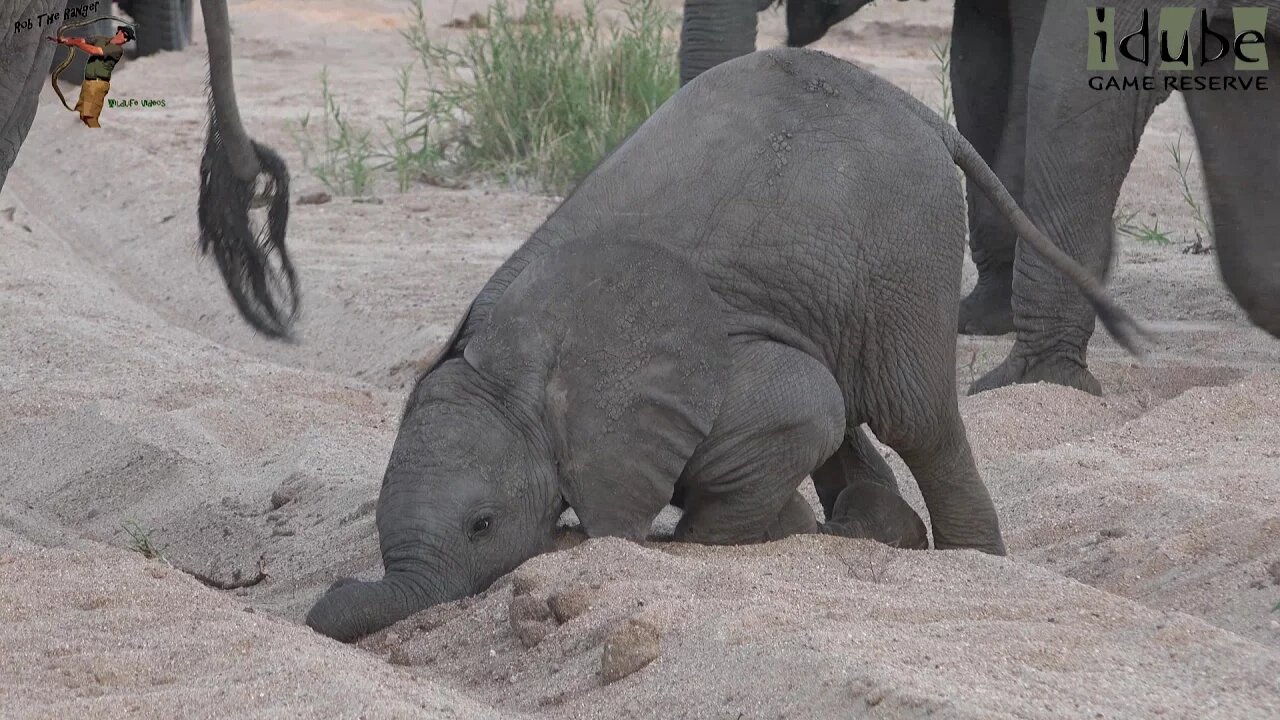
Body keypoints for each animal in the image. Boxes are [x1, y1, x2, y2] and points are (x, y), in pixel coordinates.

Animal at [304, 46, 1146, 638]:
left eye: (481, 525)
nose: (332, 597)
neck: (522, 362)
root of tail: (918, 110)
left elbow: (800, 407)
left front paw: (695, 544)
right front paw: (799, 533)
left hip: (907, 245)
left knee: (911, 415)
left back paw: (971, 562)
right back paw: (875, 532)